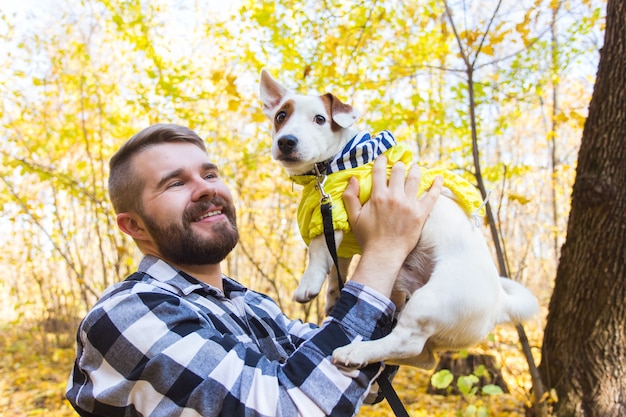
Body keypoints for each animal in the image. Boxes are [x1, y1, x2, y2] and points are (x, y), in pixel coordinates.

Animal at [258, 69, 536, 368]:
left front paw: (307, 284)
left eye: (320, 119)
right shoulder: (341, 242)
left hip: (430, 301)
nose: (286, 141)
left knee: (408, 342)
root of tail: (500, 304)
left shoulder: (333, 211)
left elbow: (318, 251)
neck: (333, 165)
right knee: (425, 357)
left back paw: (355, 352)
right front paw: (334, 296)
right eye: (280, 116)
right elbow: (337, 267)